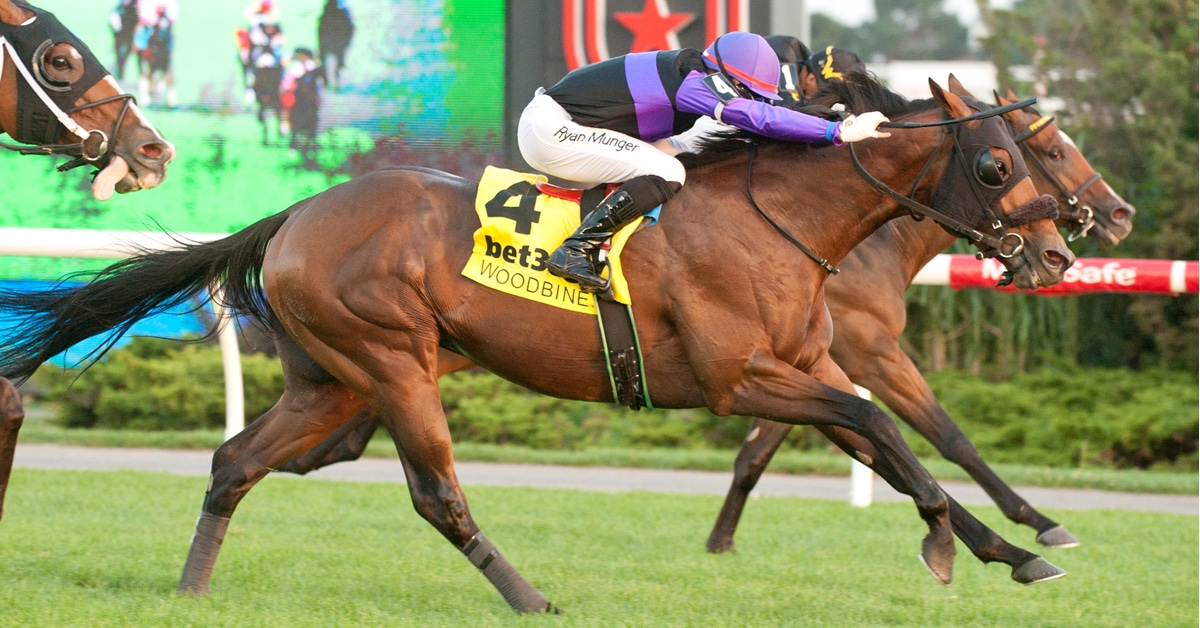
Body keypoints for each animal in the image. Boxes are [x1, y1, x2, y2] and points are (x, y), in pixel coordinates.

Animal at [0, 76, 1074, 612]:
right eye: (998, 163)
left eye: (1036, 156)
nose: (1057, 252)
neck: (781, 219)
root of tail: (297, 213)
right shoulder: (744, 378)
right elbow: (885, 430)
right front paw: (959, 541)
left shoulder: (804, 366)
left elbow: (886, 442)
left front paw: (1011, 551)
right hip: (390, 361)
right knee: (434, 494)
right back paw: (530, 597)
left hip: (331, 381)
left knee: (236, 462)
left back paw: (190, 589)